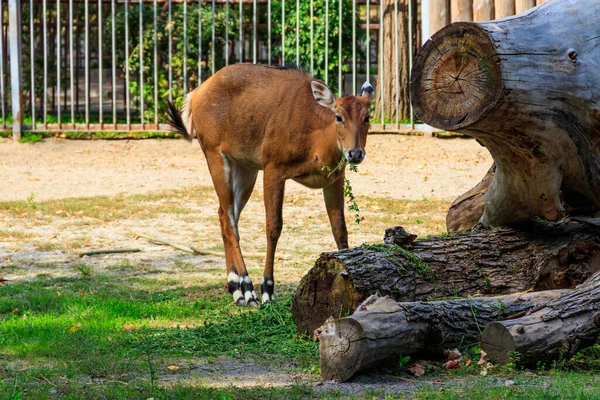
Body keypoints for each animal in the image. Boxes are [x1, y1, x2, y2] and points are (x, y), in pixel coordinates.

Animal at [168, 63, 376, 306]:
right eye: (338, 116)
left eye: (367, 116)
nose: (355, 153)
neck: (315, 138)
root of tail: (196, 93)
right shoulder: (273, 170)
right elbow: (273, 227)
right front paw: (267, 288)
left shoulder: (334, 179)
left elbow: (339, 228)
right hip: (215, 155)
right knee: (230, 222)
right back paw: (248, 289)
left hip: (245, 168)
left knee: (225, 215)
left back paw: (235, 288)